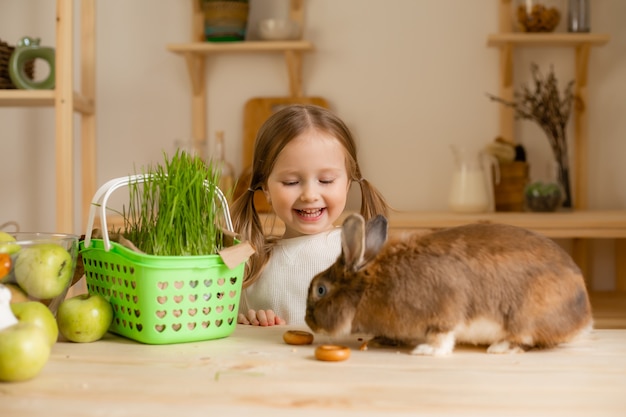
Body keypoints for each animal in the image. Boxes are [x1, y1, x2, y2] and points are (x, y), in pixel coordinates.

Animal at [304, 214, 592, 354]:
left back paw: (499, 348)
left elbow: (442, 338)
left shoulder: (443, 312)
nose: (308, 321)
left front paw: (425, 351)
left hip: (525, 316)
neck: (370, 284)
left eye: (320, 289)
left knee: (525, 338)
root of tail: (584, 317)